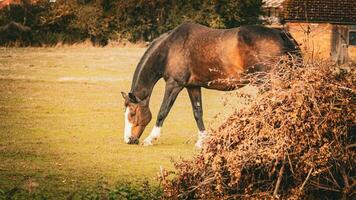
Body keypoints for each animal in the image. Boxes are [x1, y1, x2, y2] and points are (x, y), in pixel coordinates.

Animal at [120, 22, 300, 148]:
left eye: (132, 113)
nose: (129, 140)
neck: (170, 48)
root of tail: (279, 33)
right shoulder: (192, 87)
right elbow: (197, 113)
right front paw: (202, 141)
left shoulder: (174, 84)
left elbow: (162, 112)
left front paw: (151, 139)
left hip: (268, 82)